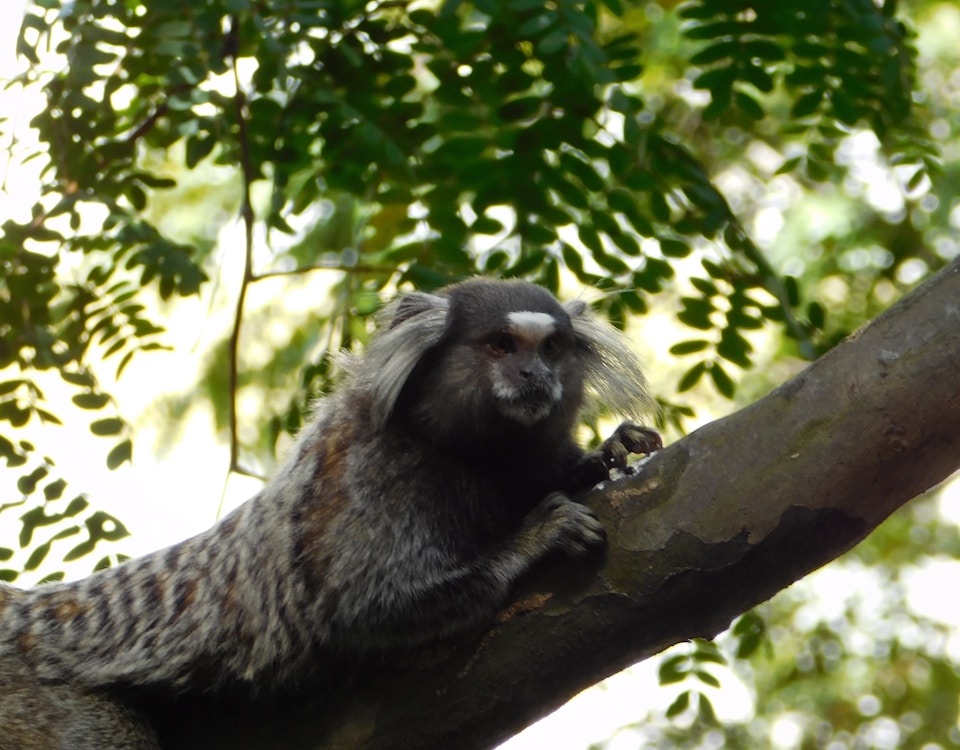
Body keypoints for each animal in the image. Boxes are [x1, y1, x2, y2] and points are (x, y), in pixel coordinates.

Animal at [0, 280, 660, 748]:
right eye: (501, 345)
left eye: (551, 348)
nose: (534, 375)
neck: (464, 448)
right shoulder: (377, 476)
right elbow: (366, 603)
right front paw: (534, 538)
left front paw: (602, 456)